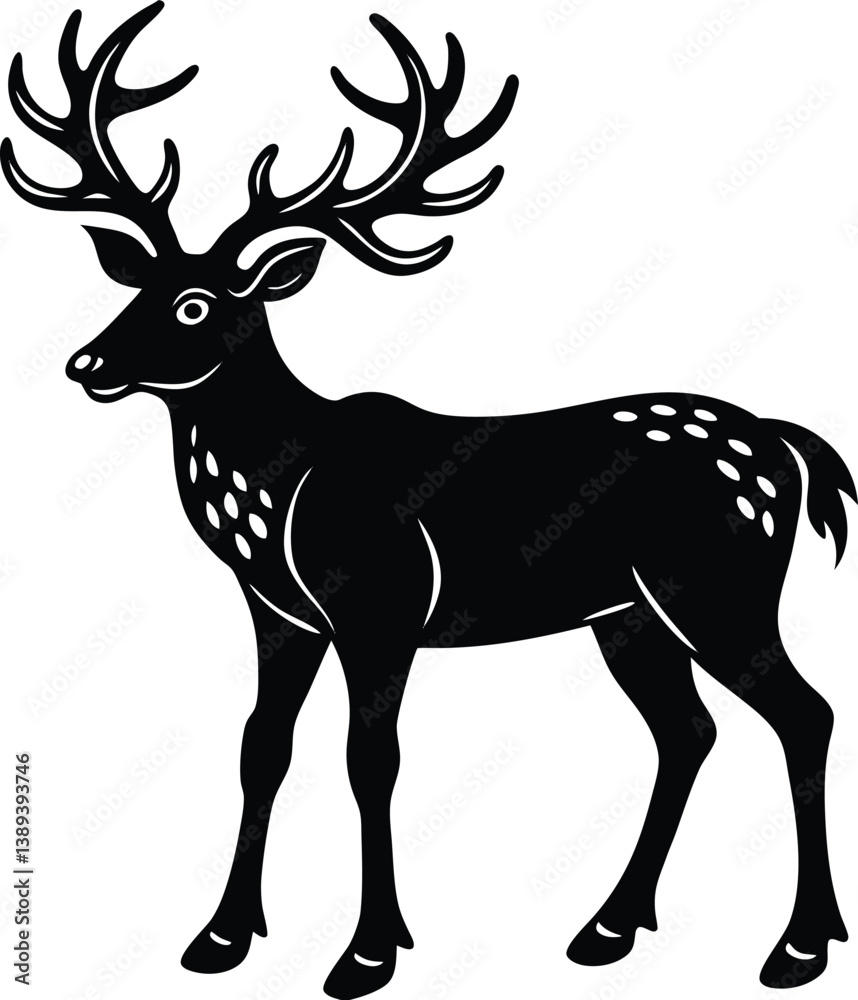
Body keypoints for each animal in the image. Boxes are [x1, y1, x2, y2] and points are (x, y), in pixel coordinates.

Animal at [2, 3, 852, 997]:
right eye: (137, 284)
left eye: (196, 305)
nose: (85, 362)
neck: (279, 494)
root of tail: (785, 443)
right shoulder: (279, 611)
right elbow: (261, 748)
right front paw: (220, 936)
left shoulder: (383, 603)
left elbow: (371, 760)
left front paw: (369, 951)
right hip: (628, 613)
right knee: (688, 731)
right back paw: (610, 927)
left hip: (720, 582)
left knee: (805, 712)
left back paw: (799, 946)